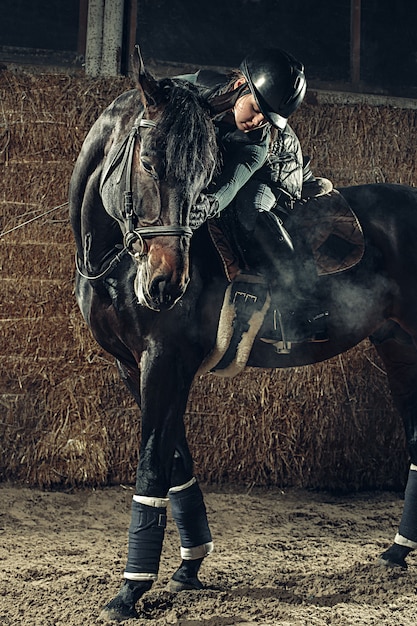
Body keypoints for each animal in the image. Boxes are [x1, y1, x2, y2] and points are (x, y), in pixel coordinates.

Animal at [68, 45, 416, 620]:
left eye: (203, 173)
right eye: (149, 162)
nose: (166, 283)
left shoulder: (165, 359)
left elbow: (152, 465)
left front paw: (131, 589)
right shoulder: (132, 364)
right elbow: (177, 462)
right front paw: (189, 566)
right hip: (398, 345)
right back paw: (397, 551)